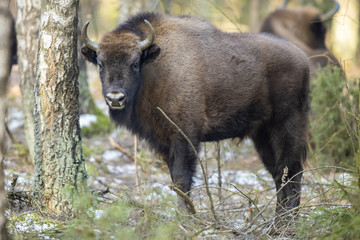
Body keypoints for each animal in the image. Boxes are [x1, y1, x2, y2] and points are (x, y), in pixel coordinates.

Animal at [81, 12, 310, 217]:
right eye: (100, 63)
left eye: (134, 63)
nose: (115, 98)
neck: (155, 68)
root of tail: (303, 60)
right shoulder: (163, 141)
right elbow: (174, 178)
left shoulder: (185, 136)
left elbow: (181, 179)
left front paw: (186, 218)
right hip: (261, 135)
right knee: (279, 173)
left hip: (287, 127)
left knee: (292, 171)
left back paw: (285, 222)